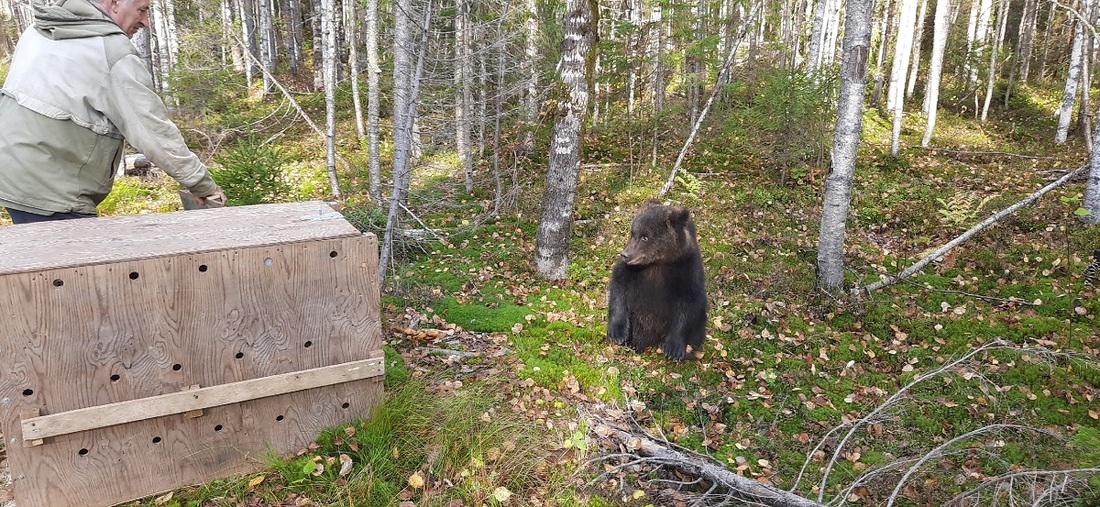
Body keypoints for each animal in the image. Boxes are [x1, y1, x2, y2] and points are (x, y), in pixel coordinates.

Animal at [607, 197, 708, 360]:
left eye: (645, 237)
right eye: (633, 233)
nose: (625, 254)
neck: (658, 262)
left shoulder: (686, 270)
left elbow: (688, 305)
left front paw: (673, 349)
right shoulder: (632, 272)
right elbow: (619, 288)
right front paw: (617, 333)